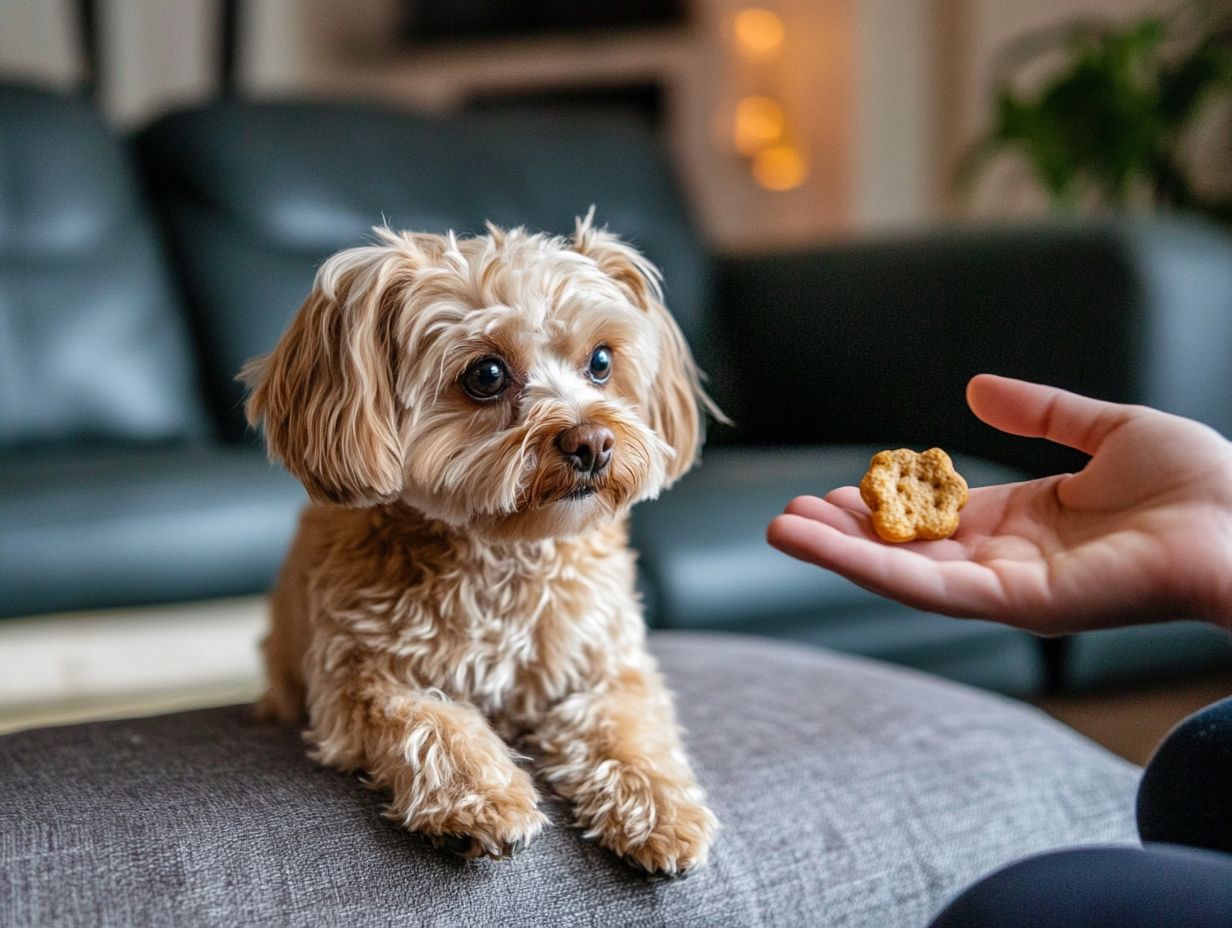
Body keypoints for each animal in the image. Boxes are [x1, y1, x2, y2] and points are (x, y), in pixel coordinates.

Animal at [241, 215, 719, 877]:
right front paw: (480, 798)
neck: (504, 556)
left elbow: (628, 728)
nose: (593, 442)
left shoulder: (609, 664)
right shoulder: (354, 680)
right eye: (486, 375)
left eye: (600, 361)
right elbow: (432, 720)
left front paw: (660, 809)